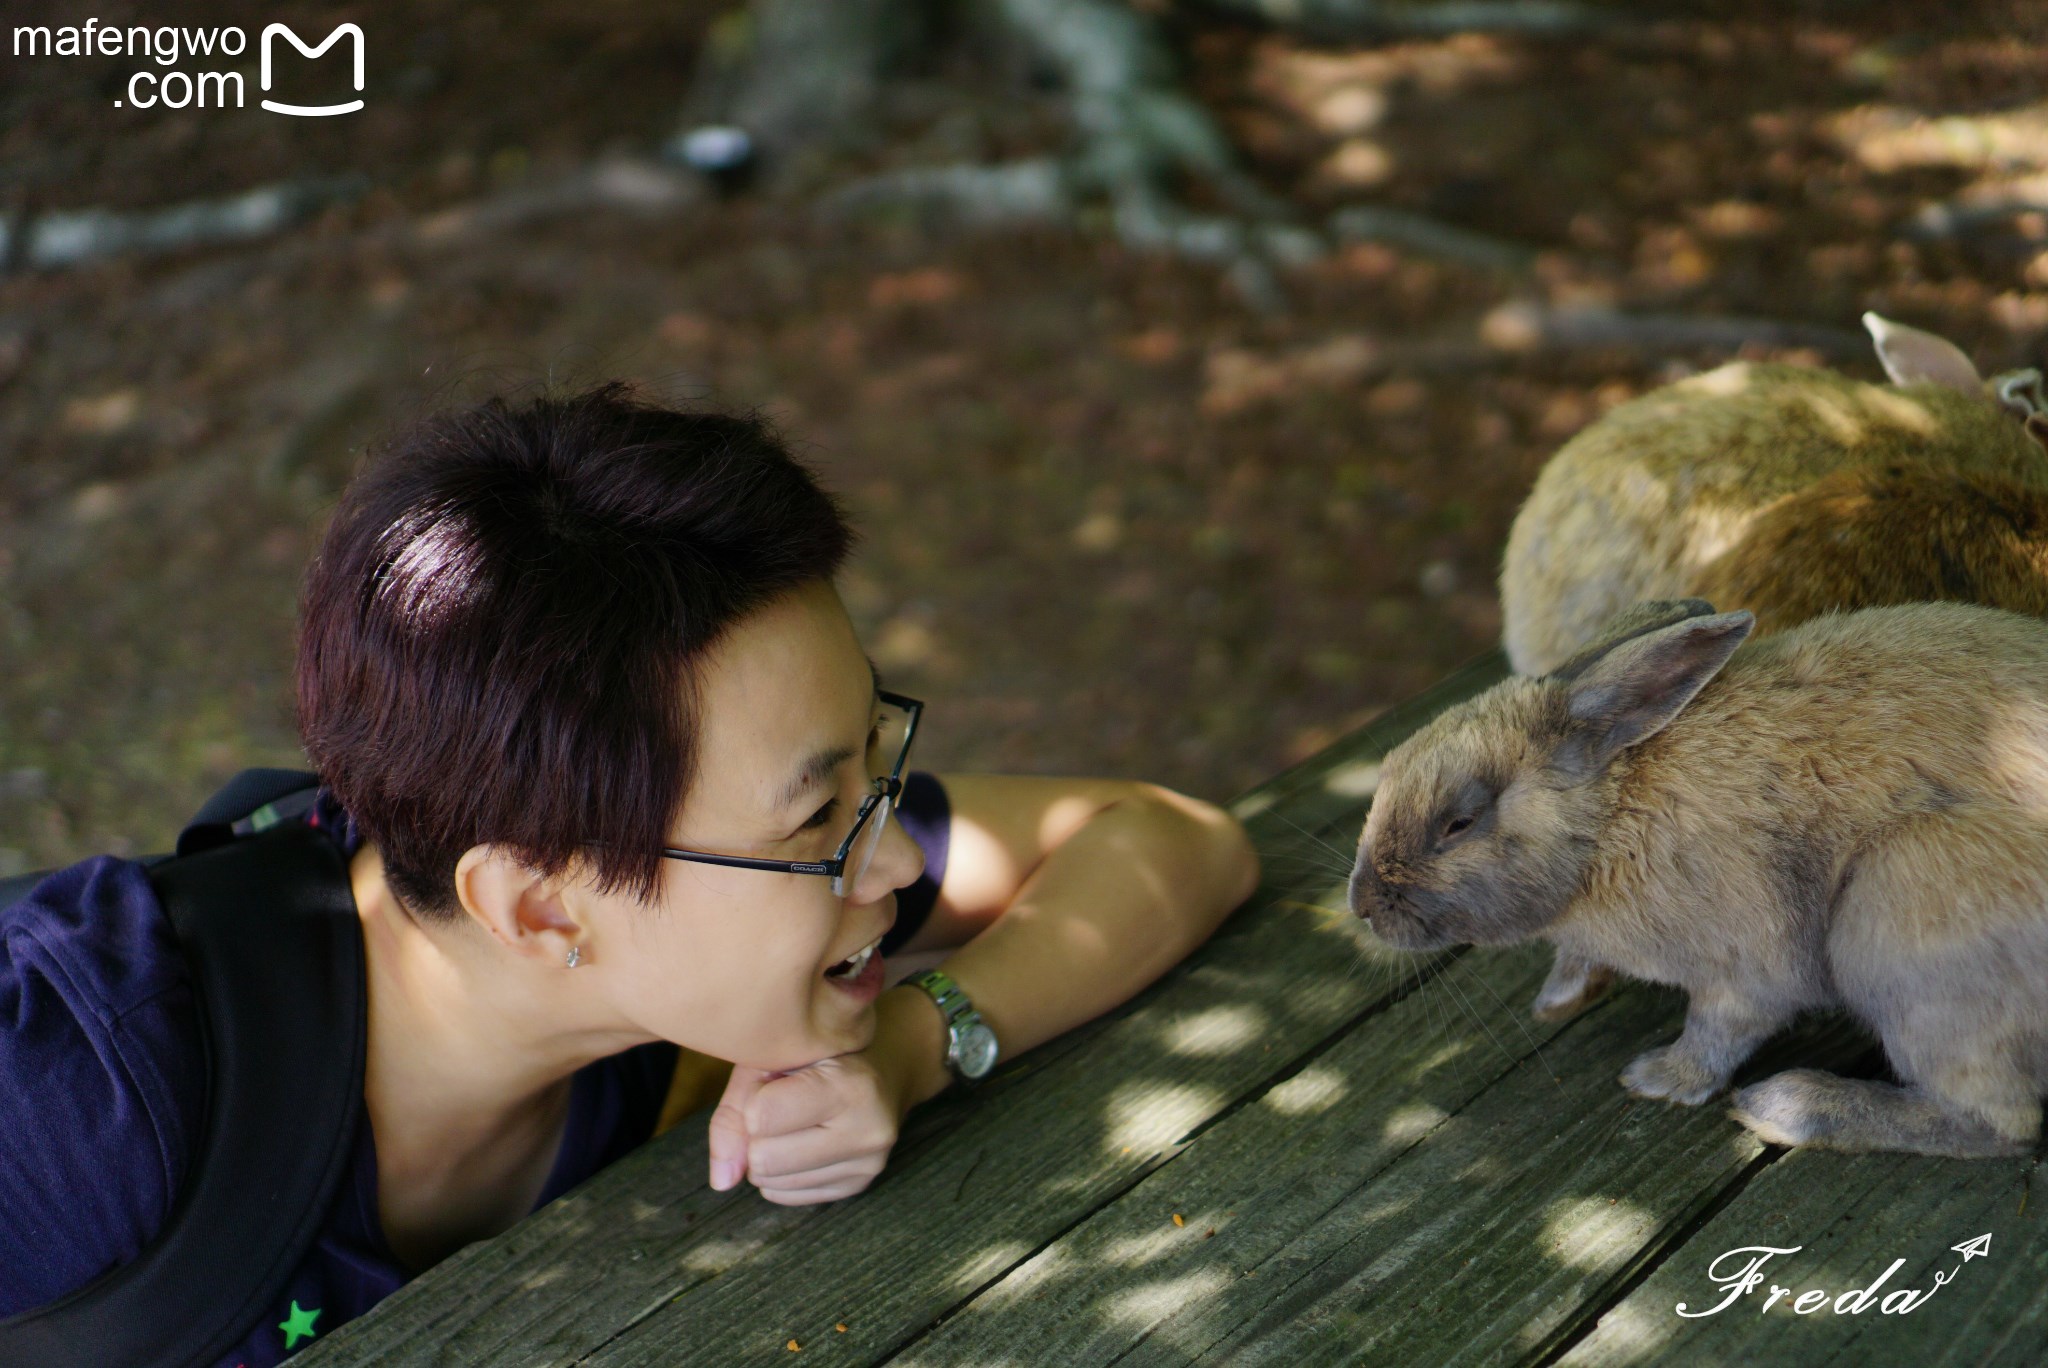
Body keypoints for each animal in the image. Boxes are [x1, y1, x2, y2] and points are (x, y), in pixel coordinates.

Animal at [1351, 597, 2048, 1155]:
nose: (1362, 905)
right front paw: (1560, 997)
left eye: (1459, 822)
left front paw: (1658, 1079)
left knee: (2001, 1125)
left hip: (1906, 903)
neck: (1608, 819)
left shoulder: (1749, 967)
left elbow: (1718, 1028)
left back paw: (1787, 1107)